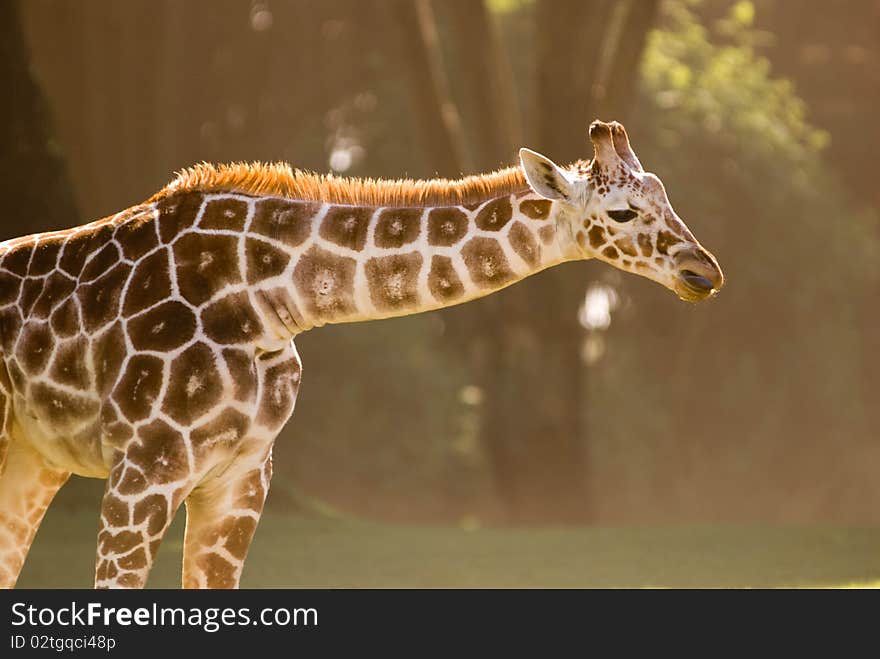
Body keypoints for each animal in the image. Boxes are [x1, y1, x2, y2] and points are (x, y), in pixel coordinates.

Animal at [0, 121, 720, 592]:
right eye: (621, 212)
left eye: (667, 197)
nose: (703, 273)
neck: (268, 297)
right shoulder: (144, 466)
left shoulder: (241, 477)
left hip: (33, 458)